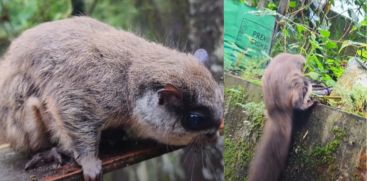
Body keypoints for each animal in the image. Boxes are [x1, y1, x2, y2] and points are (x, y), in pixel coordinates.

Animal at [0, 16, 224, 180]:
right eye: (195, 119)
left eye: (221, 101)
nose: (215, 135)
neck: (128, 82)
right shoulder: (78, 98)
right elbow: (75, 126)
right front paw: (90, 164)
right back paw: (49, 153)